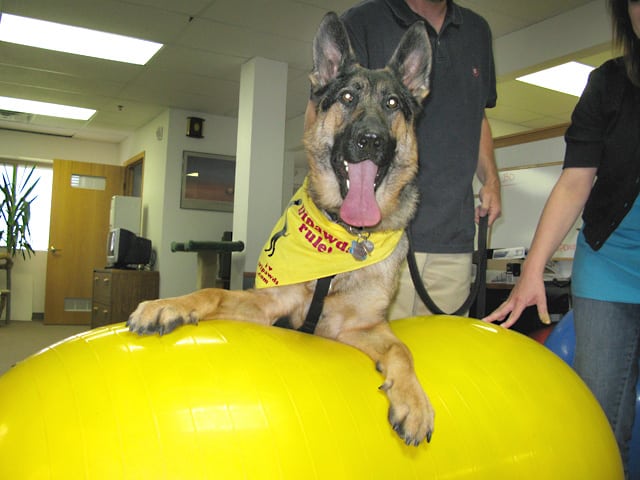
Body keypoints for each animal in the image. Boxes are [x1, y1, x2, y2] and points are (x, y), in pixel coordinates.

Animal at [125, 11, 436, 446]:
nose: (371, 140)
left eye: (392, 103)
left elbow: (401, 350)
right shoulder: (269, 305)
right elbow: (211, 291)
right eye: (347, 98)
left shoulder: (356, 327)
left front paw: (415, 403)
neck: (343, 239)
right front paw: (167, 305)